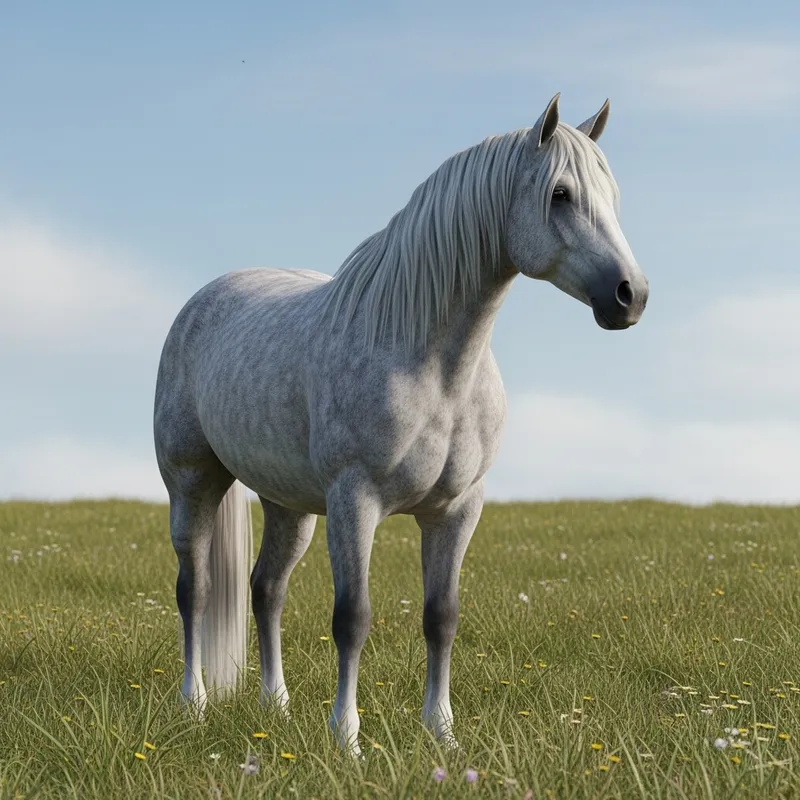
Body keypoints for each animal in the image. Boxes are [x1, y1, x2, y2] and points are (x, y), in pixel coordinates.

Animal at [153, 93, 649, 756]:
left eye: (612, 194)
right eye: (561, 194)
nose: (630, 295)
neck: (431, 364)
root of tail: (204, 299)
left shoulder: (458, 509)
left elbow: (442, 617)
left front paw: (442, 735)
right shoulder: (354, 501)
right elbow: (352, 618)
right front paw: (347, 741)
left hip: (289, 506)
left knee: (266, 589)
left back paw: (275, 707)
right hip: (193, 483)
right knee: (197, 590)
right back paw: (195, 704)